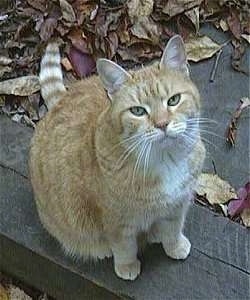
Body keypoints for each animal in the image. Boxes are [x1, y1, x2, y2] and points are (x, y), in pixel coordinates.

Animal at [29, 35, 205, 282]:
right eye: (138, 111)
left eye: (174, 100)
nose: (162, 124)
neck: (164, 160)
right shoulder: (116, 222)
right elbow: (124, 247)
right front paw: (127, 265)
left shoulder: (177, 206)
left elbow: (173, 229)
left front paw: (175, 246)